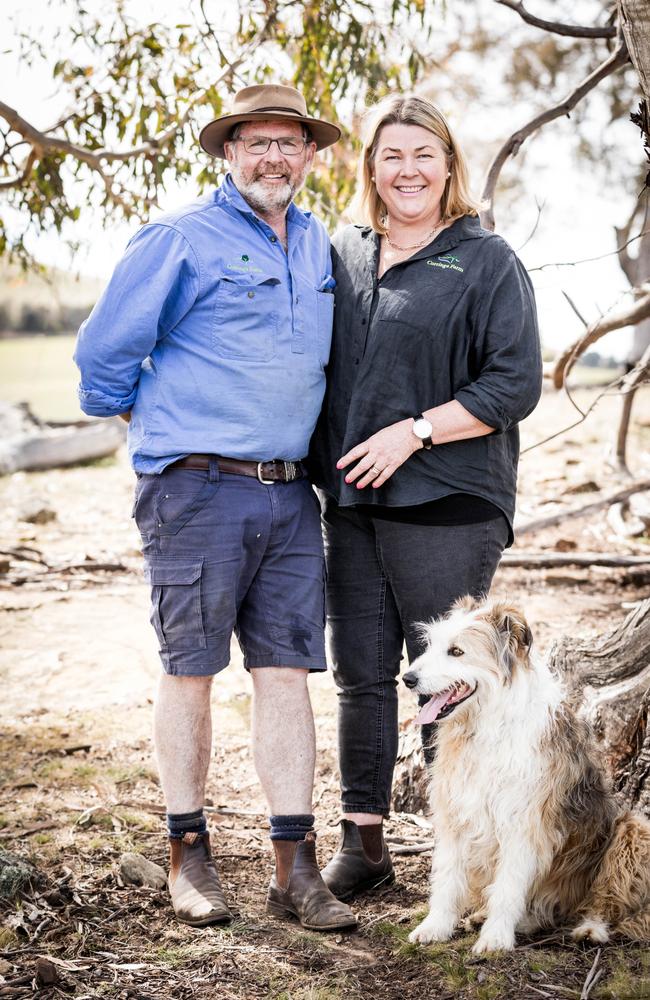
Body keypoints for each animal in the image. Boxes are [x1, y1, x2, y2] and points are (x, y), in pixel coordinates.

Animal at [402, 592, 648, 952]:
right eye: (432, 646)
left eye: (457, 651)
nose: (407, 679)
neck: (487, 724)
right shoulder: (456, 811)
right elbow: (447, 879)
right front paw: (435, 926)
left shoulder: (523, 822)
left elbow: (509, 886)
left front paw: (495, 937)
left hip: (632, 830)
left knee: (605, 899)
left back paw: (590, 928)